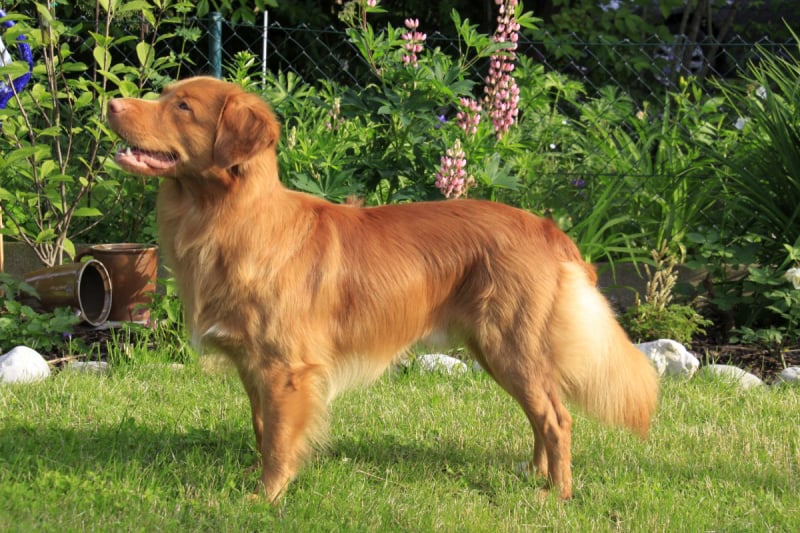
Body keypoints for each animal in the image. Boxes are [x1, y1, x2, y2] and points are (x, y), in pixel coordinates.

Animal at [107, 76, 659, 502]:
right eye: (164, 94)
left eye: (182, 106)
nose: (111, 104)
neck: (230, 218)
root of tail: (547, 228)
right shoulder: (255, 366)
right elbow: (263, 428)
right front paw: (258, 480)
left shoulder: (288, 370)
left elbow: (281, 439)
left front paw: (267, 496)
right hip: (497, 349)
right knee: (542, 414)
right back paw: (535, 476)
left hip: (510, 343)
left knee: (558, 418)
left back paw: (558, 494)